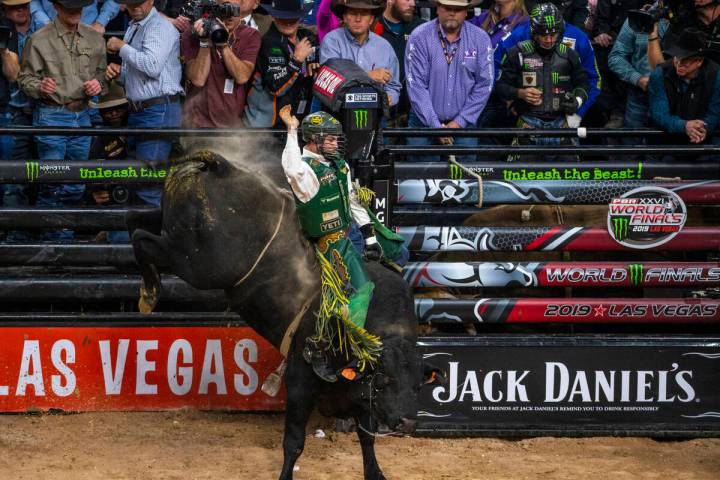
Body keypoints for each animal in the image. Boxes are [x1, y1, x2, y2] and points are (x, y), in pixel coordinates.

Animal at [128, 152, 444, 478]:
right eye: (384, 380)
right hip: (199, 263)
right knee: (142, 238)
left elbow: (366, 438)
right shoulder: (300, 380)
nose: (407, 423)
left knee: (136, 225)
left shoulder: (361, 394)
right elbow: (294, 441)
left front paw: (375, 472)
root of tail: (222, 167)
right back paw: (149, 294)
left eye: (419, 385)